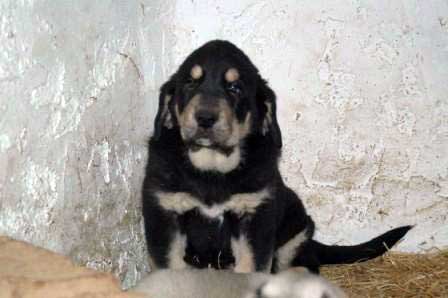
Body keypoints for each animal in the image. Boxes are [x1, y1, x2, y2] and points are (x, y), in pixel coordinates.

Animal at [142, 40, 412, 274]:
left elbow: (250, 267)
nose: (205, 118)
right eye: (190, 83)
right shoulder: (164, 213)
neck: (212, 169)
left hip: (296, 229)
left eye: (235, 88)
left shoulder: (256, 216)